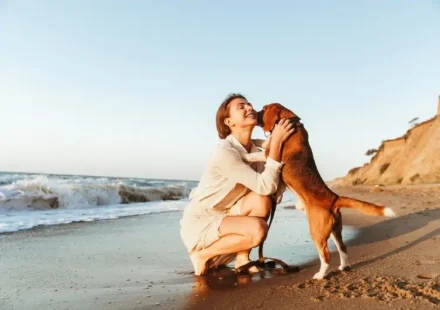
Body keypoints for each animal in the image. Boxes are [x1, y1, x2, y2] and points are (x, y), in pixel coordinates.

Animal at [254, 103, 396, 280]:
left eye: (263, 109)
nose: (253, 114)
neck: (292, 121)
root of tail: (334, 198)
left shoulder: (270, 154)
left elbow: (262, 149)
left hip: (317, 232)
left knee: (326, 255)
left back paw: (320, 275)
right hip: (335, 230)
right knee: (343, 248)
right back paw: (343, 266)